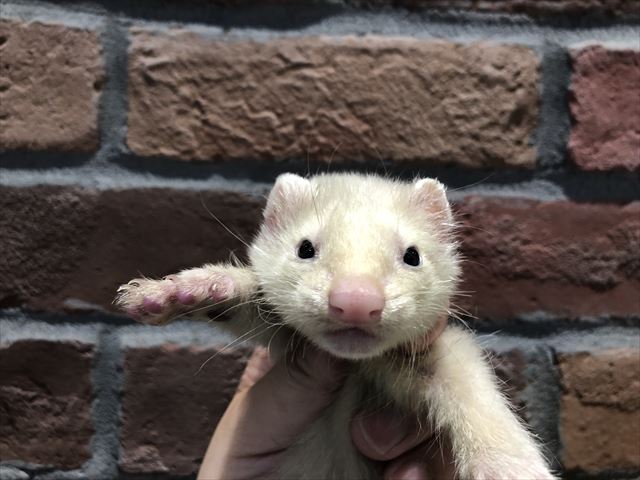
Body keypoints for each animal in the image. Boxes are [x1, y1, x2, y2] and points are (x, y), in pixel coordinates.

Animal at [116, 173, 556, 479]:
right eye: (305, 247)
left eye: (412, 254)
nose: (357, 300)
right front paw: (181, 291)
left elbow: (472, 391)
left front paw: (511, 468)